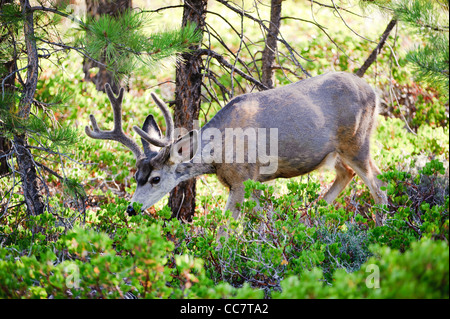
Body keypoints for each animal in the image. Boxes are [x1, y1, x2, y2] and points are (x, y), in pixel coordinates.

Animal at [86, 72, 388, 228]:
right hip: (332, 153)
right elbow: (260, 216)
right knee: (346, 173)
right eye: (135, 176)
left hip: (357, 141)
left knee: (378, 184)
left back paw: (382, 228)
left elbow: (225, 227)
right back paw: (307, 218)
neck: (219, 153)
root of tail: (374, 91)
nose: (131, 209)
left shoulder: (243, 177)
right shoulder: (250, 181)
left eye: (156, 178)